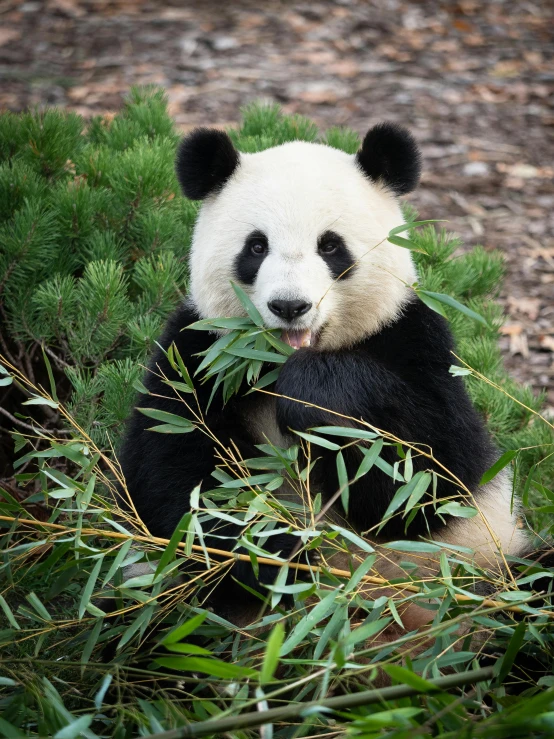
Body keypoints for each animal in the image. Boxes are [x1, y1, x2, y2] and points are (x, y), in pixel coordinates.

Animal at [119, 124, 528, 628]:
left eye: (330, 246)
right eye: (257, 246)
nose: (289, 305)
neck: (272, 364)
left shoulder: (414, 339)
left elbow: (431, 475)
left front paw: (312, 396)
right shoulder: (197, 355)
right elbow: (174, 475)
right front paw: (272, 555)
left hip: (488, 567)